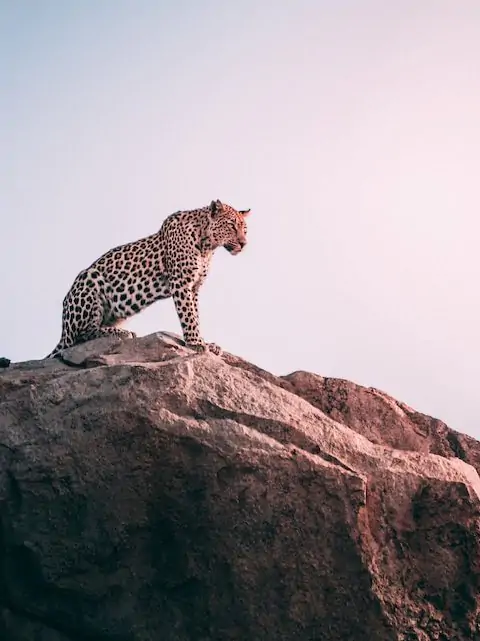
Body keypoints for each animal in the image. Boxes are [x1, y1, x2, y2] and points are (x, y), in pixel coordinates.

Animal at [46, 199, 251, 358]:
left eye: (245, 230)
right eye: (231, 225)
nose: (244, 244)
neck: (207, 246)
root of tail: (63, 329)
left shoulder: (194, 287)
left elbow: (196, 315)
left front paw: (204, 341)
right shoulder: (181, 283)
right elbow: (188, 315)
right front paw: (196, 343)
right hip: (89, 279)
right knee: (81, 336)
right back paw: (123, 333)